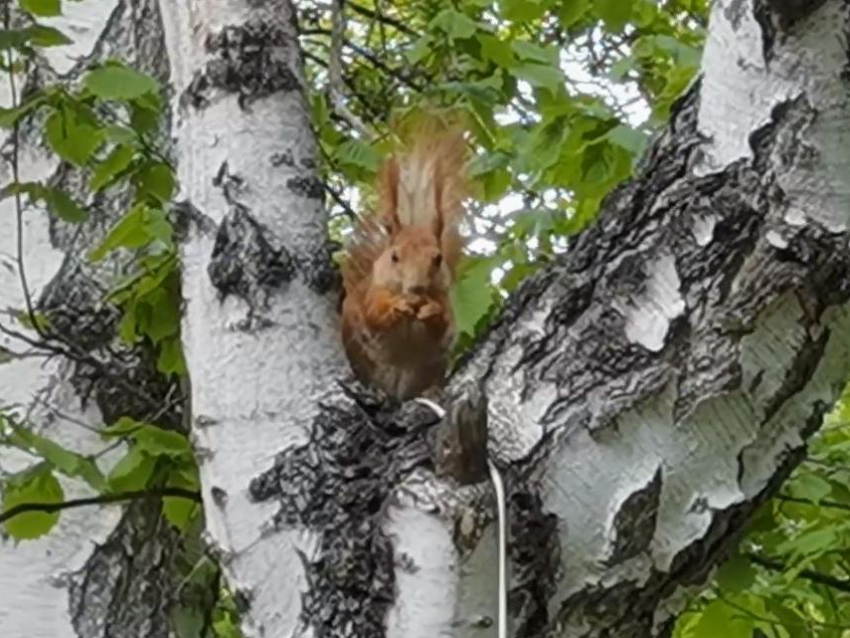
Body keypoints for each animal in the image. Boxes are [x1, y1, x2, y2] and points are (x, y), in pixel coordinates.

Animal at [340, 126, 470, 400]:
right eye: (394, 256)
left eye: (438, 258)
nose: (416, 288)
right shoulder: (372, 292)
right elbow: (375, 312)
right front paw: (398, 305)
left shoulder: (444, 299)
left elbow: (443, 321)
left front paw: (430, 310)